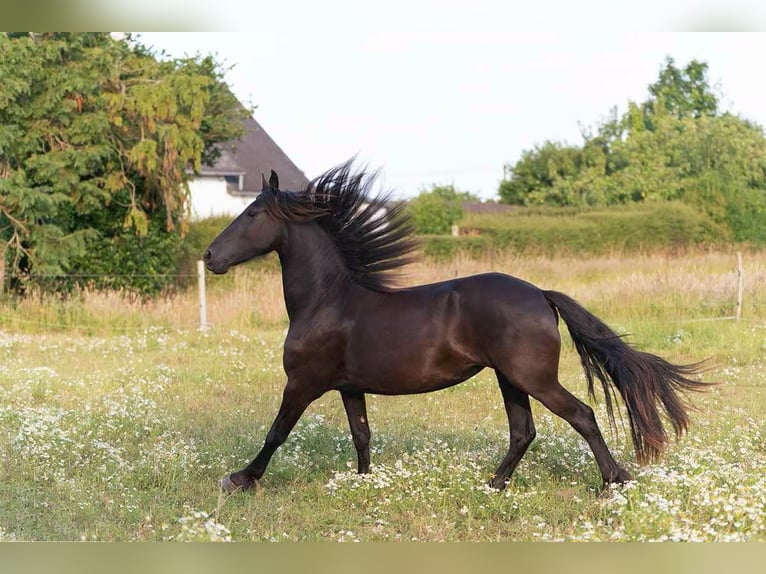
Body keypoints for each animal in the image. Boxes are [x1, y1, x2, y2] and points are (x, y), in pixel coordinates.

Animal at [204, 162, 708, 496]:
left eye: (251, 214)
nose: (209, 256)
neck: (327, 300)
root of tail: (540, 294)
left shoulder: (303, 382)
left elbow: (277, 431)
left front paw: (240, 478)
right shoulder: (349, 386)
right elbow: (361, 434)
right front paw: (365, 482)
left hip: (532, 377)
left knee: (581, 415)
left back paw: (612, 482)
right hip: (510, 379)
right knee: (523, 431)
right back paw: (494, 484)